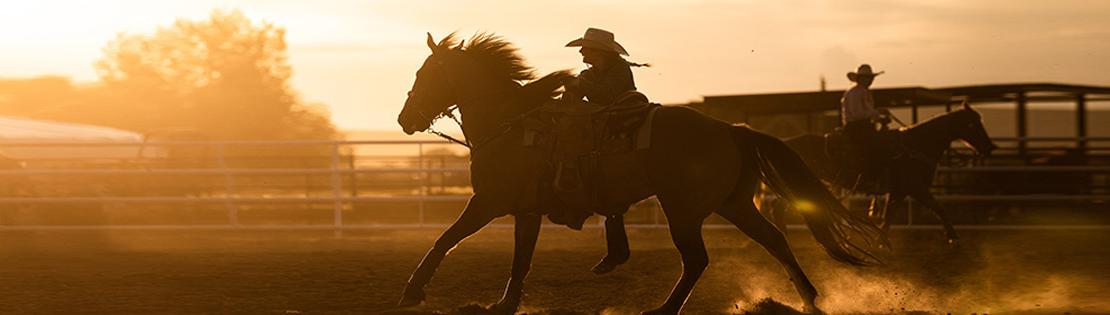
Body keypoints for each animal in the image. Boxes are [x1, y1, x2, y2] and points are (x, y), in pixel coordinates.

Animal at [395, 32, 879, 315]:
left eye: (425, 73)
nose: (404, 119)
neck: (510, 123)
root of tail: (731, 128)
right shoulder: (525, 211)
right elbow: (520, 259)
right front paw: (505, 303)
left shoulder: (488, 203)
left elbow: (445, 239)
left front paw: (413, 290)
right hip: (734, 204)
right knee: (775, 240)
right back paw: (809, 300)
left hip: (683, 210)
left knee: (697, 259)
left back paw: (664, 310)